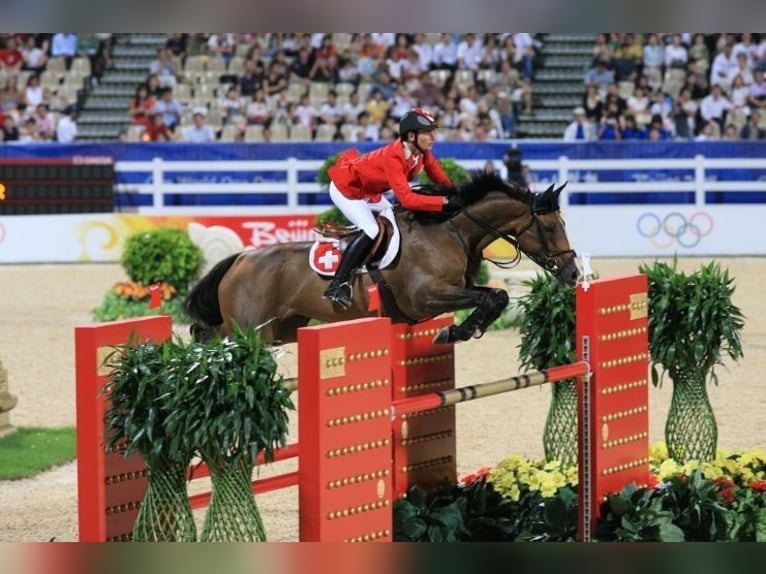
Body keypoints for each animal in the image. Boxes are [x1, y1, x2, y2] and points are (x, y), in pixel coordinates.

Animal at [184, 172, 584, 346]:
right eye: (550, 227)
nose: (573, 275)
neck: (450, 231)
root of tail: (240, 260)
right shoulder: (426, 297)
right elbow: (493, 296)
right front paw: (455, 331)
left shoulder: (456, 289)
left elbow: (495, 296)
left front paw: (463, 329)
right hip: (251, 329)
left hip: (281, 330)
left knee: (210, 334)